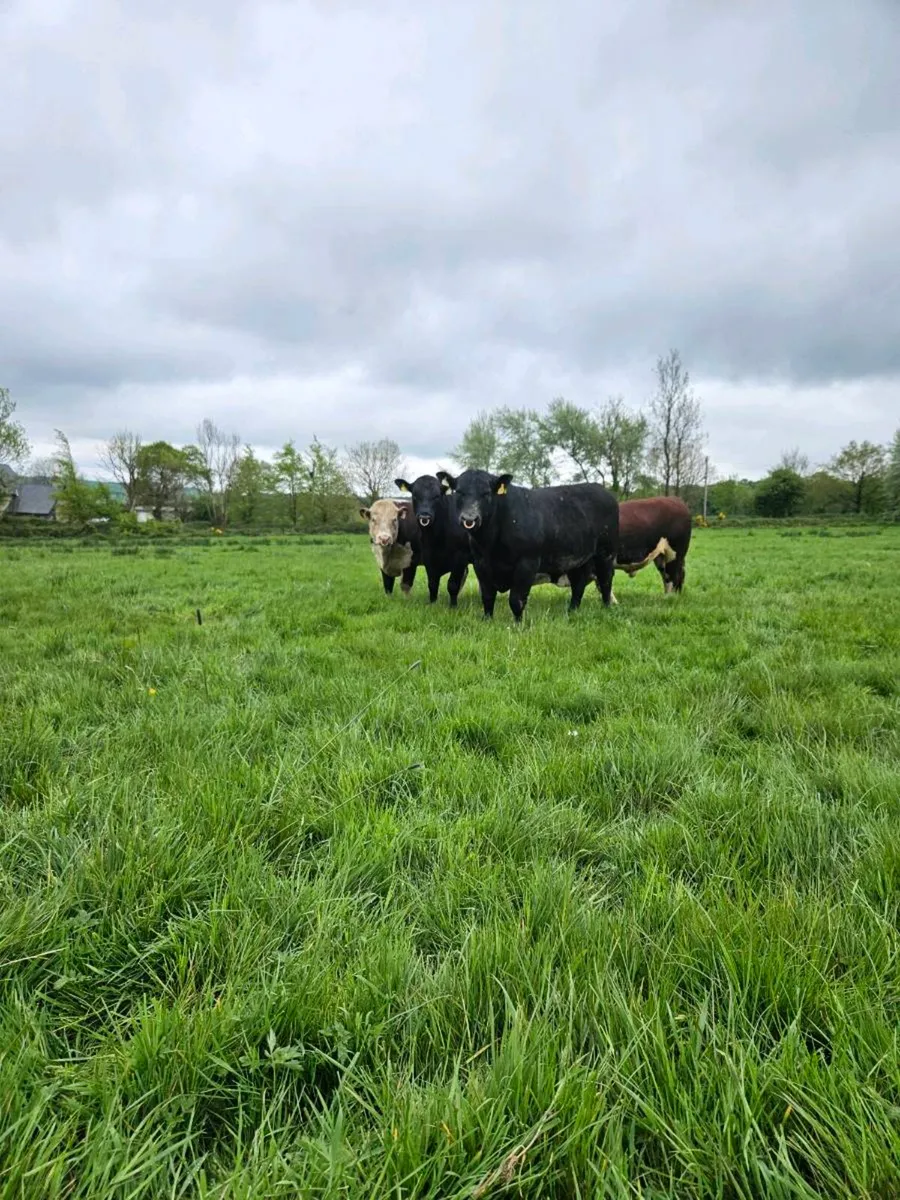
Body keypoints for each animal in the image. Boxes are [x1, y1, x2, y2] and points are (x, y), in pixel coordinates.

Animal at [394, 474, 471, 607]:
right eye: (415, 495)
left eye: (437, 496)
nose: (424, 516)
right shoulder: (428, 556)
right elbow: (433, 584)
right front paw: (433, 604)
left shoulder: (460, 557)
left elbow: (453, 584)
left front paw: (453, 606)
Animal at [436, 469, 619, 623]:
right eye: (459, 492)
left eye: (486, 493)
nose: (469, 518)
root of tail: (602, 490)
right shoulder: (481, 563)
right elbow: (487, 596)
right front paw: (487, 620)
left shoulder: (527, 563)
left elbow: (516, 600)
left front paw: (518, 624)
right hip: (577, 558)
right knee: (578, 584)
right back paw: (571, 611)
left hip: (605, 552)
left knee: (605, 581)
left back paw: (606, 608)